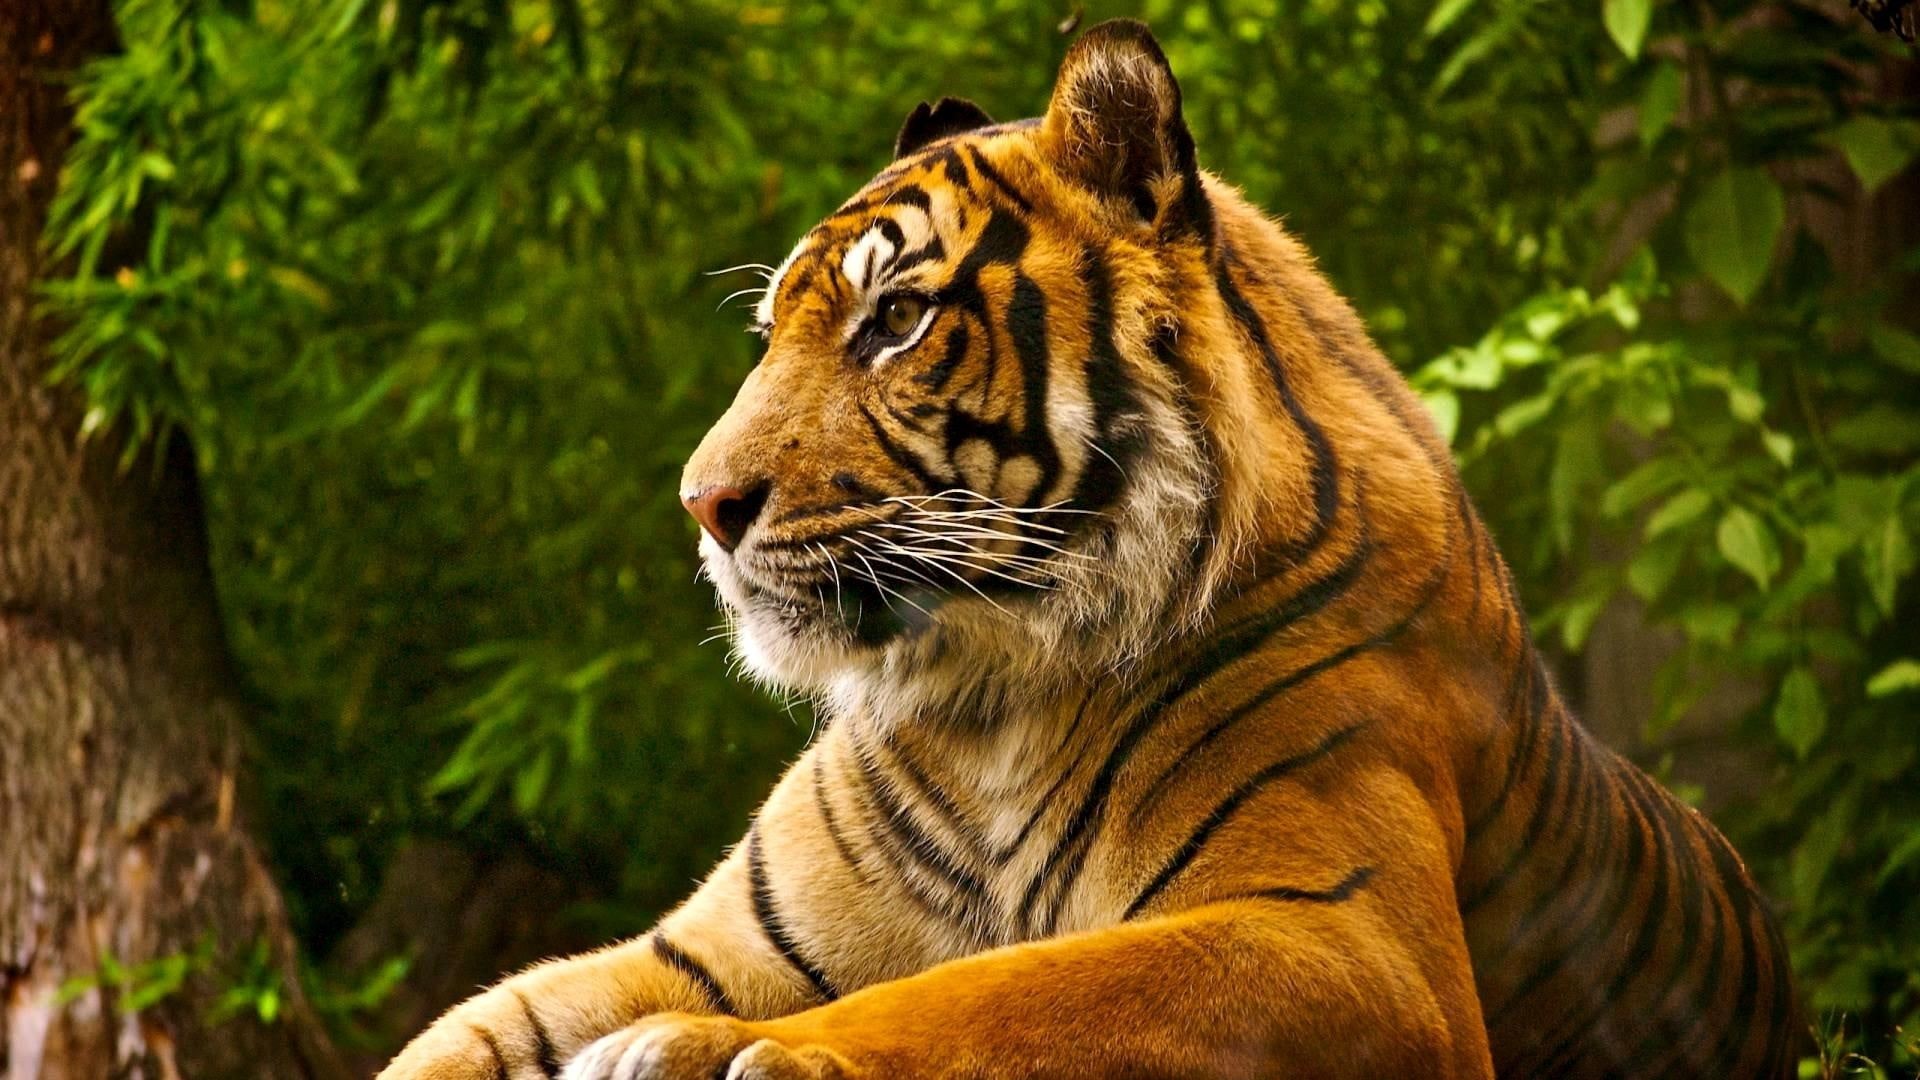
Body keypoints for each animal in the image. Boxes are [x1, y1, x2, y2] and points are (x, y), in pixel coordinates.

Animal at [380, 19, 1800, 1080]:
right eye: (773, 330)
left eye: (896, 321)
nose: (702, 504)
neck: (986, 701)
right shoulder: (705, 947)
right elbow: (459, 1032)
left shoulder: (1348, 937)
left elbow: (1002, 994)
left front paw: (712, 1051)